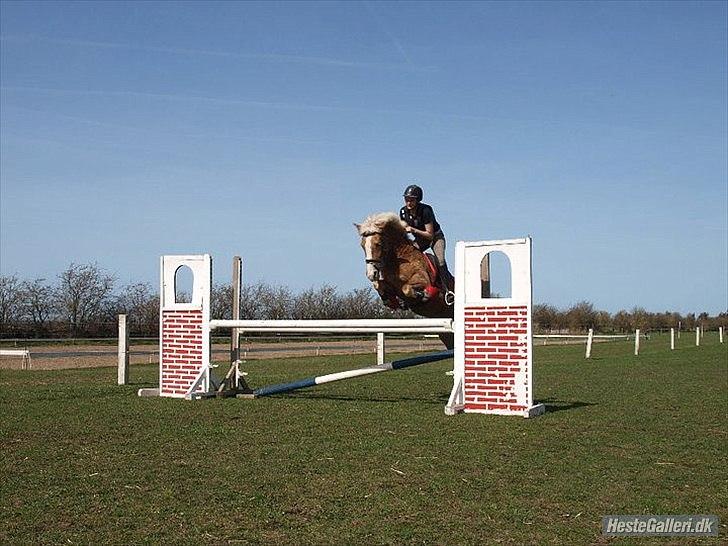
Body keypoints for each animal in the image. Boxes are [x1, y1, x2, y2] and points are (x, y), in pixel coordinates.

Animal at [354, 210, 456, 346]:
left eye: (378, 244)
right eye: (362, 245)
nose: (371, 274)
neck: (397, 260)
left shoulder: (422, 280)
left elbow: (407, 288)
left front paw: (421, 295)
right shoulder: (386, 282)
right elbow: (379, 285)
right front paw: (393, 301)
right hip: (446, 334)